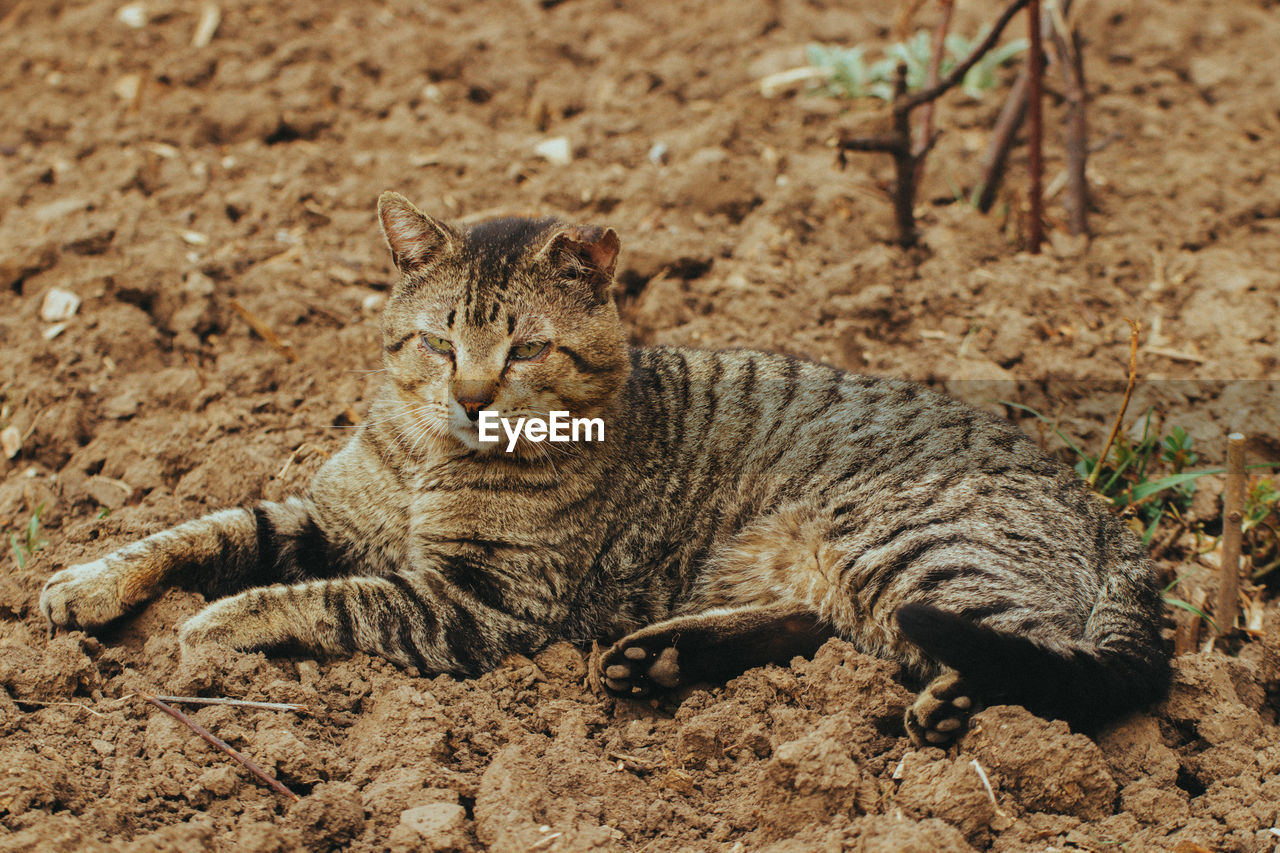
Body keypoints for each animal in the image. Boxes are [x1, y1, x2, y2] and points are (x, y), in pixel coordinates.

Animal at [42, 190, 1172, 737]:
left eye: (526, 350)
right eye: (439, 343)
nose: (471, 396)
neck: (427, 456)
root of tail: (1101, 508)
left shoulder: (479, 605)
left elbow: (324, 598)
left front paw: (213, 627)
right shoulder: (327, 515)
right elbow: (203, 528)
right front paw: (85, 581)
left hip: (904, 549)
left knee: (1054, 662)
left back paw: (954, 703)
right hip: (832, 569)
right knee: (825, 630)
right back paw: (660, 657)